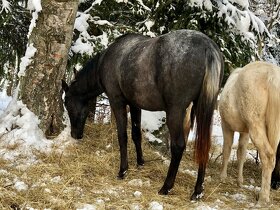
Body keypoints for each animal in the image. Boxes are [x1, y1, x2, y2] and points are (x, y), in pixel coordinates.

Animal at [61, 29, 223, 199]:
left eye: (66, 103)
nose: (75, 135)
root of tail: (207, 47)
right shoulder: (134, 105)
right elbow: (136, 134)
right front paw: (140, 162)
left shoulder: (117, 102)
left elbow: (122, 136)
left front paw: (123, 171)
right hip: (201, 108)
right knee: (204, 146)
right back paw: (198, 191)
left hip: (176, 111)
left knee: (178, 146)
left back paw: (166, 187)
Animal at [219, 61, 280, 205]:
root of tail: (273, 76)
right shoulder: (245, 132)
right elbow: (241, 153)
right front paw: (239, 181)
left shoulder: (226, 126)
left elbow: (227, 150)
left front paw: (223, 177)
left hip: (255, 125)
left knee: (268, 156)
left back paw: (263, 198)